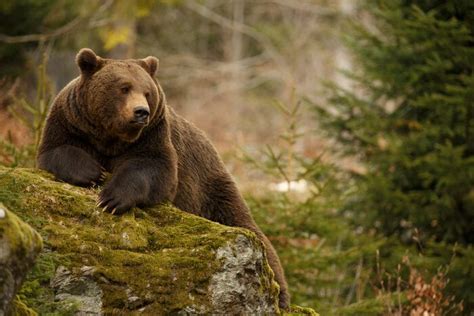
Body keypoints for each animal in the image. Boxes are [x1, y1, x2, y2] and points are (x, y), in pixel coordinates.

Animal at [36, 48, 288, 308]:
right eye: (124, 87)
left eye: (147, 92)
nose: (141, 112)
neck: (112, 137)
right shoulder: (70, 122)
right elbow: (57, 150)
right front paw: (92, 173)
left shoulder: (153, 135)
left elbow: (154, 168)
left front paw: (111, 198)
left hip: (211, 190)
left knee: (255, 237)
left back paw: (280, 295)